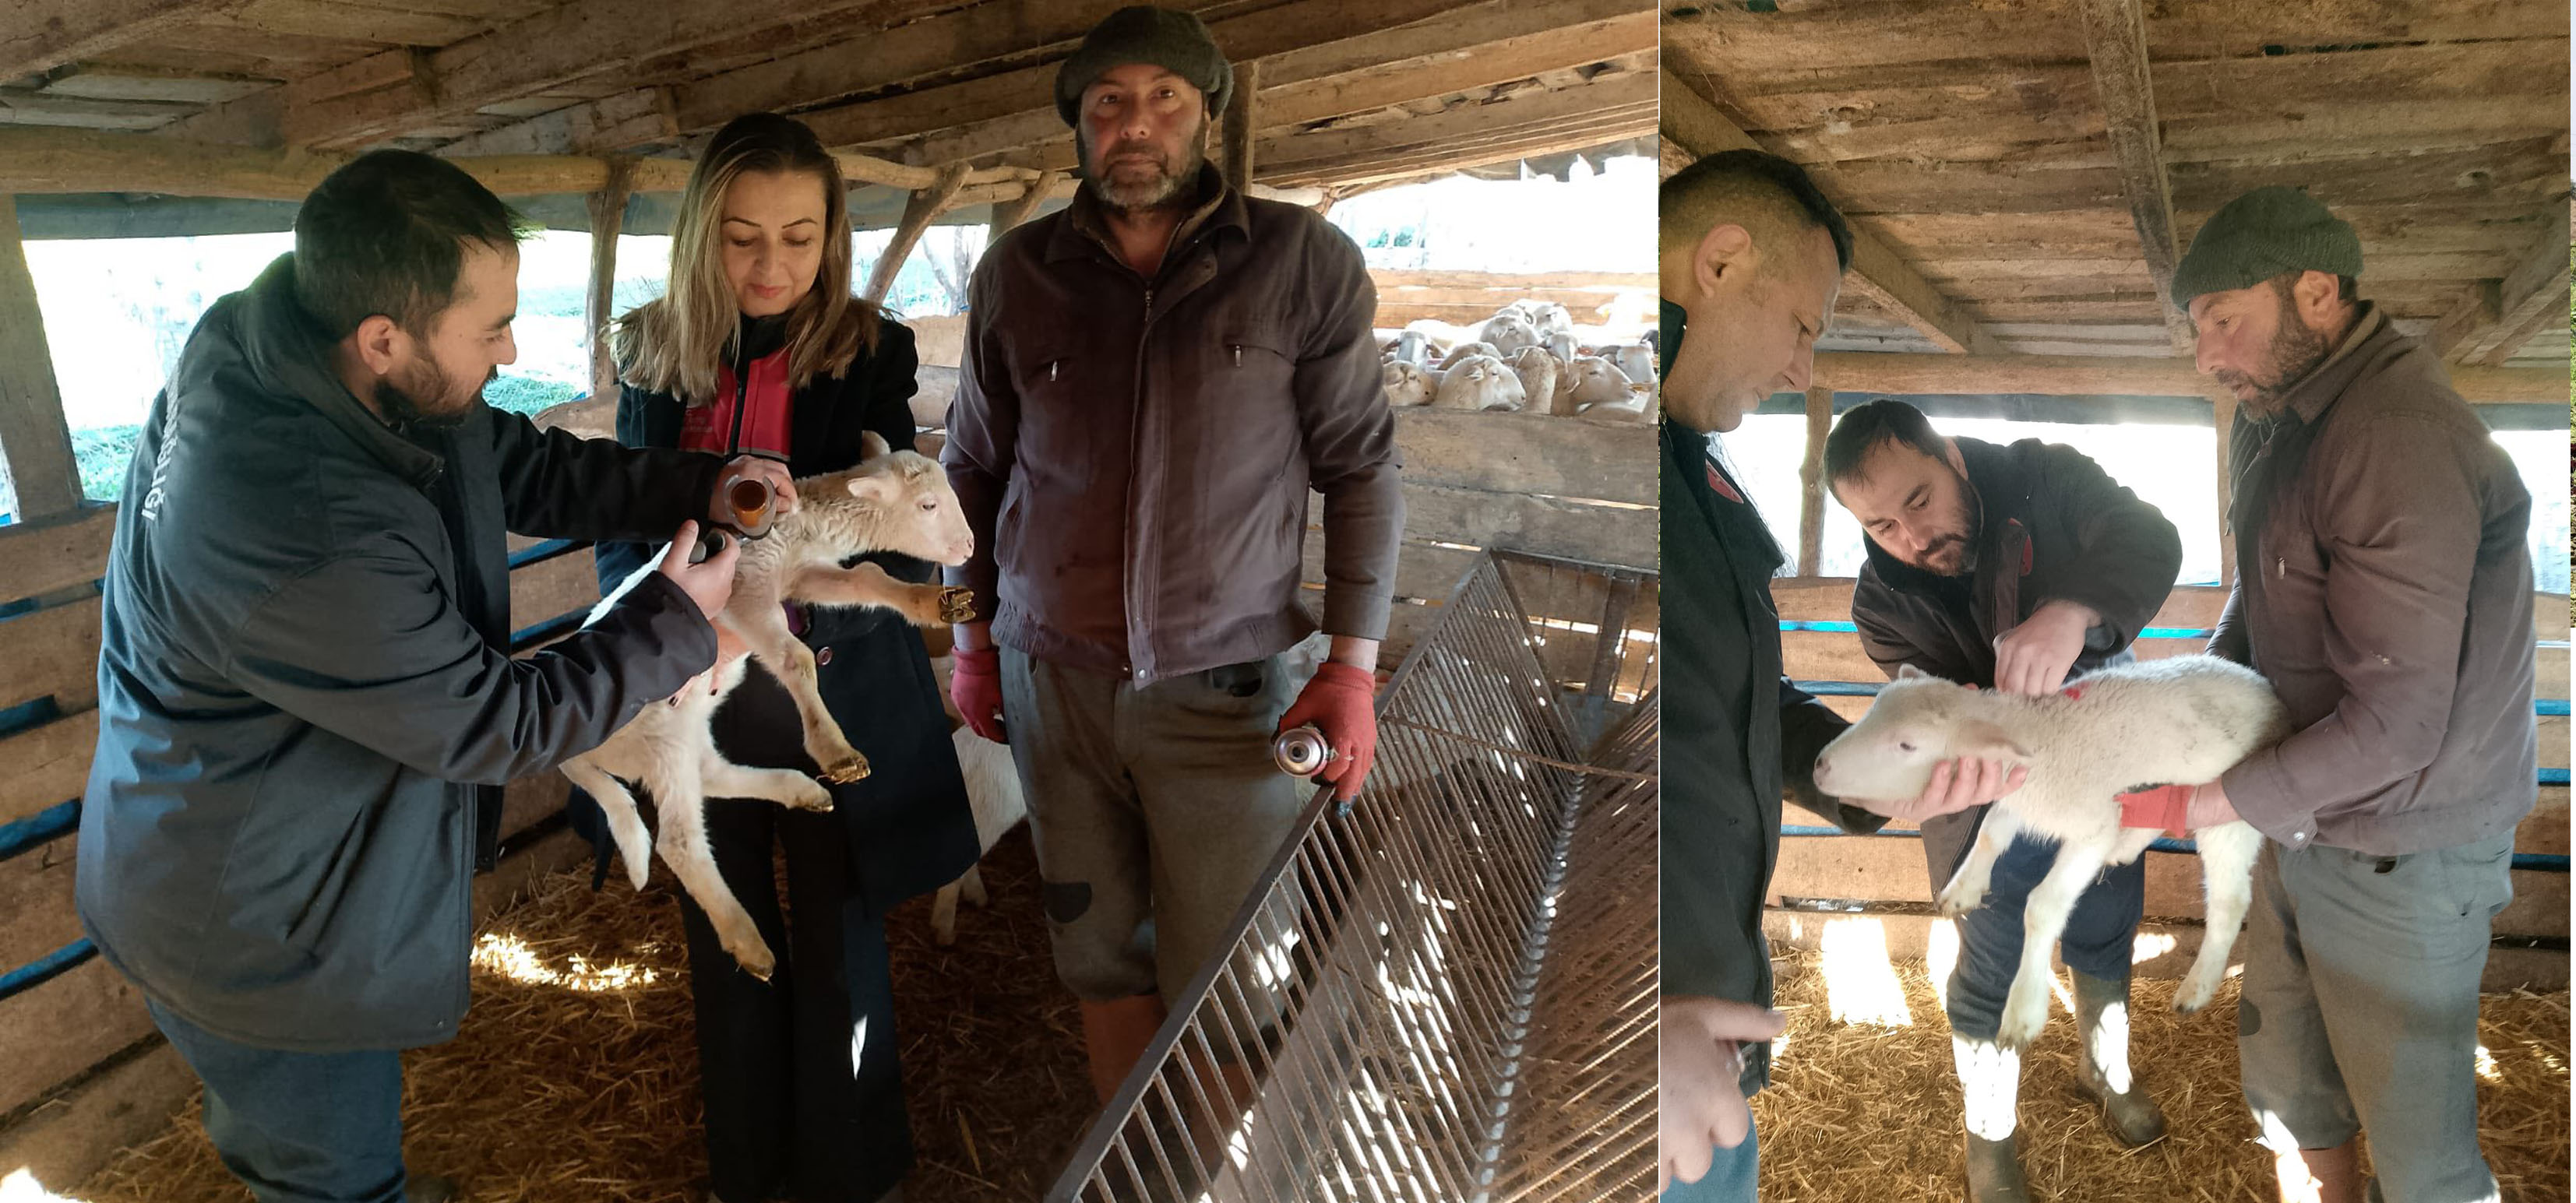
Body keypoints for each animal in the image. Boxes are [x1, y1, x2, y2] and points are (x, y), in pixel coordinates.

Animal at [558, 432, 978, 980]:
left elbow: (868, 577)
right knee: (679, 842)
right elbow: (796, 658)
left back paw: (801, 791)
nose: (970, 546)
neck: (795, 529)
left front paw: (936, 603)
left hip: (684, 730)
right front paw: (835, 751)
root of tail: (571, 757)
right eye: (928, 505)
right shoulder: (745, 591)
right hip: (658, 737)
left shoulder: (803, 575)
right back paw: (748, 943)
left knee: (712, 775)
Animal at [1807, 656, 2289, 1050]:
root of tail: (2268, 691)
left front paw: (2022, 1010)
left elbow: (2042, 907)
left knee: (2229, 901)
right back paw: (2126, 845)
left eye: (1907, 745)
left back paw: (2197, 987)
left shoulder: (2090, 829)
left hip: (2229, 810)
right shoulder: (2017, 796)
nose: (1819, 765)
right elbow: (1990, 834)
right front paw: (1963, 888)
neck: (2045, 739)